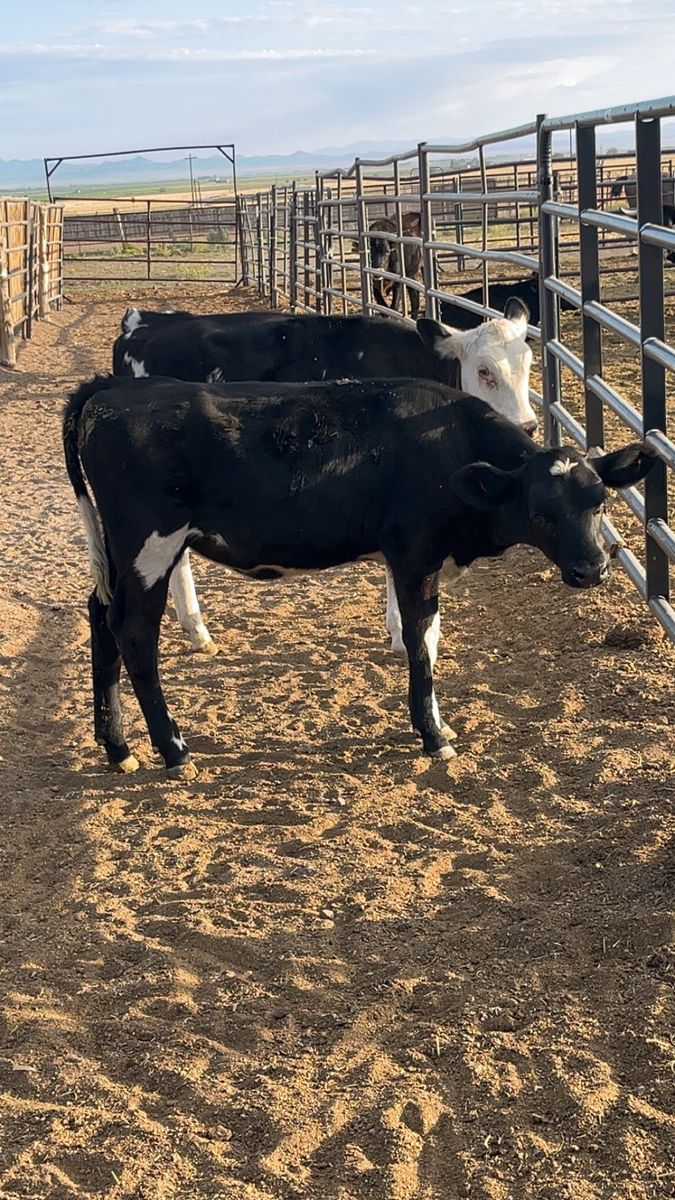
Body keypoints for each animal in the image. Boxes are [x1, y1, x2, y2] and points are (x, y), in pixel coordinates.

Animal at [63, 372, 655, 779]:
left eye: (599, 501)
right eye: (540, 513)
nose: (592, 569)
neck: (450, 446)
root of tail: (113, 388)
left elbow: (429, 640)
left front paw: (436, 722)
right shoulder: (414, 556)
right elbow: (419, 642)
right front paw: (433, 735)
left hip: (119, 554)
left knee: (101, 617)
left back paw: (118, 748)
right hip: (150, 546)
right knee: (134, 634)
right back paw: (173, 749)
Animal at [113, 303, 537, 656]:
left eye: (528, 363)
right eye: (484, 370)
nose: (528, 426)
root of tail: (142, 321)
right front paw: (401, 634)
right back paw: (198, 630)